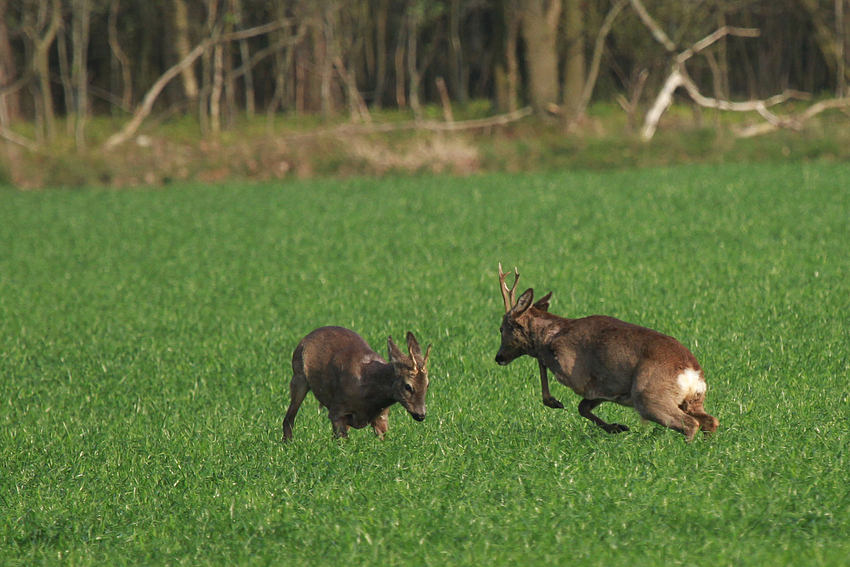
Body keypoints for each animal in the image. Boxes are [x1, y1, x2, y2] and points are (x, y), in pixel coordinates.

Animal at [284, 326, 430, 442]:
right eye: (408, 386)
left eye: (427, 385)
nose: (421, 415)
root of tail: (307, 336)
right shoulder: (337, 410)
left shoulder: (382, 417)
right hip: (298, 377)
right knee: (288, 419)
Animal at [494, 264, 720, 442]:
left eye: (501, 328)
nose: (499, 357)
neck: (554, 333)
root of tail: (692, 372)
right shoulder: (600, 388)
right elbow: (582, 408)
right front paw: (616, 428)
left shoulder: (575, 374)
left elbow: (541, 360)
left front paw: (553, 402)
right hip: (691, 400)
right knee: (711, 421)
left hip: (648, 397)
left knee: (690, 424)